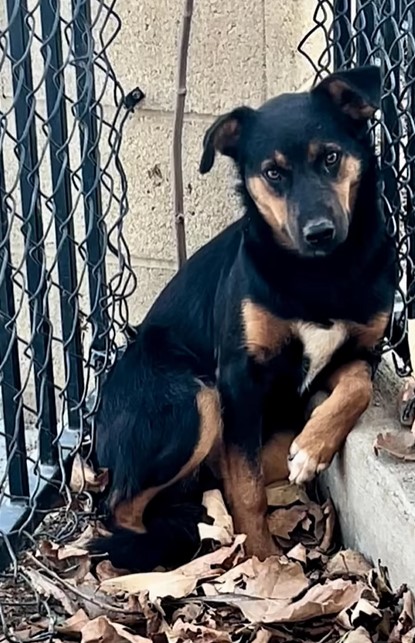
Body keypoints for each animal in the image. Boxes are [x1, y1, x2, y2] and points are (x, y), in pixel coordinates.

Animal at [90, 68, 396, 572]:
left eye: (331, 157)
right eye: (273, 172)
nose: (319, 233)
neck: (322, 273)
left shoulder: (356, 354)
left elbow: (357, 388)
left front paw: (314, 447)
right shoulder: (238, 376)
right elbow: (247, 490)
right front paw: (262, 558)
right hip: (194, 398)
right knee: (119, 507)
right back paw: (156, 545)